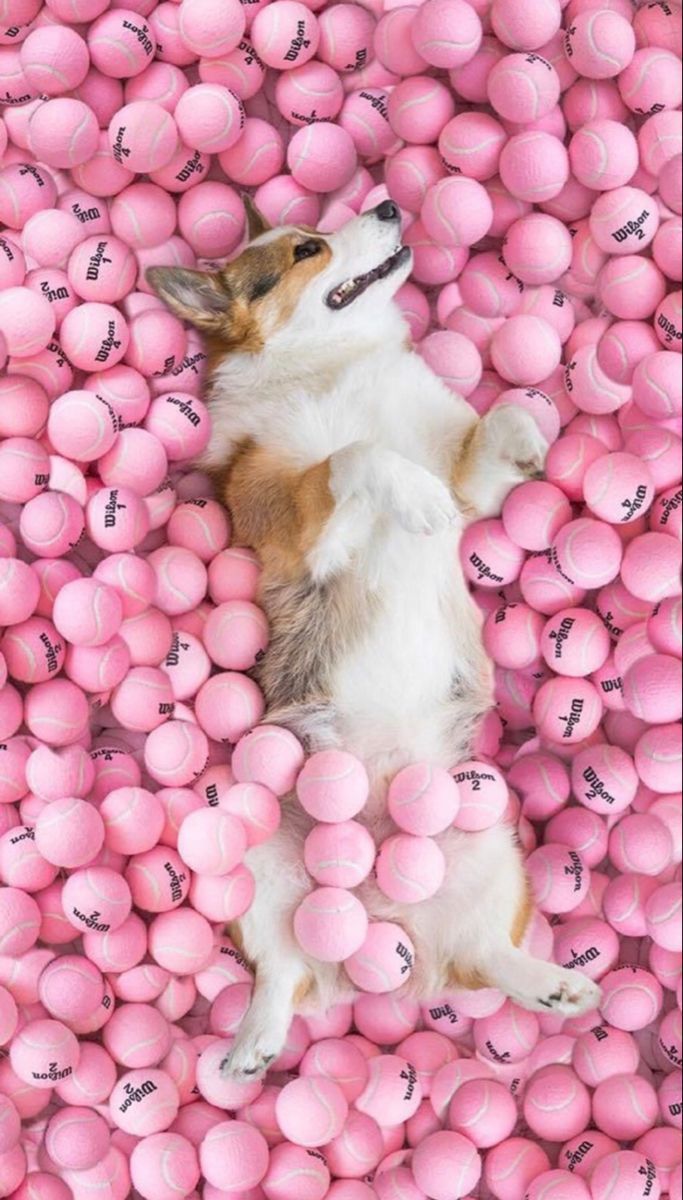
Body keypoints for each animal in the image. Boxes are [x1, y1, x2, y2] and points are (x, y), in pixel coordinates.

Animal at [147, 196, 595, 1080]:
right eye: (305, 250)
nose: (388, 202)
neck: (337, 364)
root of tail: (387, 926)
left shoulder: (470, 486)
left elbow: (495, 423)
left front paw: (528, 440)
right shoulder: (299, 522)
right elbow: (358, 455)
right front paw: (410, 495)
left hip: (488, 846)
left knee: (482, 957)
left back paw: (549, 985)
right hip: (257, 856)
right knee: (282, 970)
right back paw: (250, 1044)